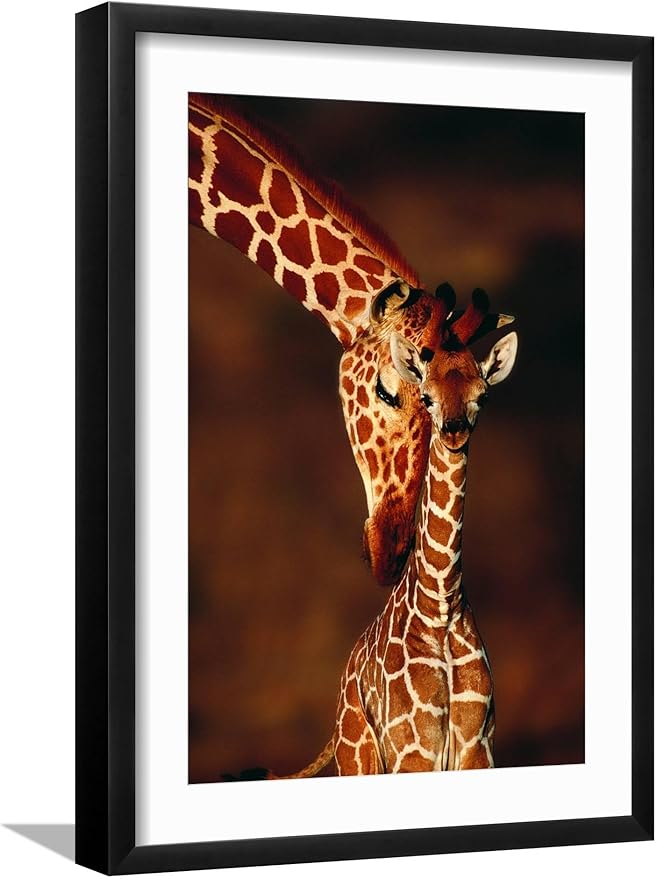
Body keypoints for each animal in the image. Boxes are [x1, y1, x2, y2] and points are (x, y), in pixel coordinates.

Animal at [260, 286, 517, 778]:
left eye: (482, 395)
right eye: (428, 396)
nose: (453, 431)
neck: (441, 605)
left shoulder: (478, 748)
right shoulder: (412, 751)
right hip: (359, 757)